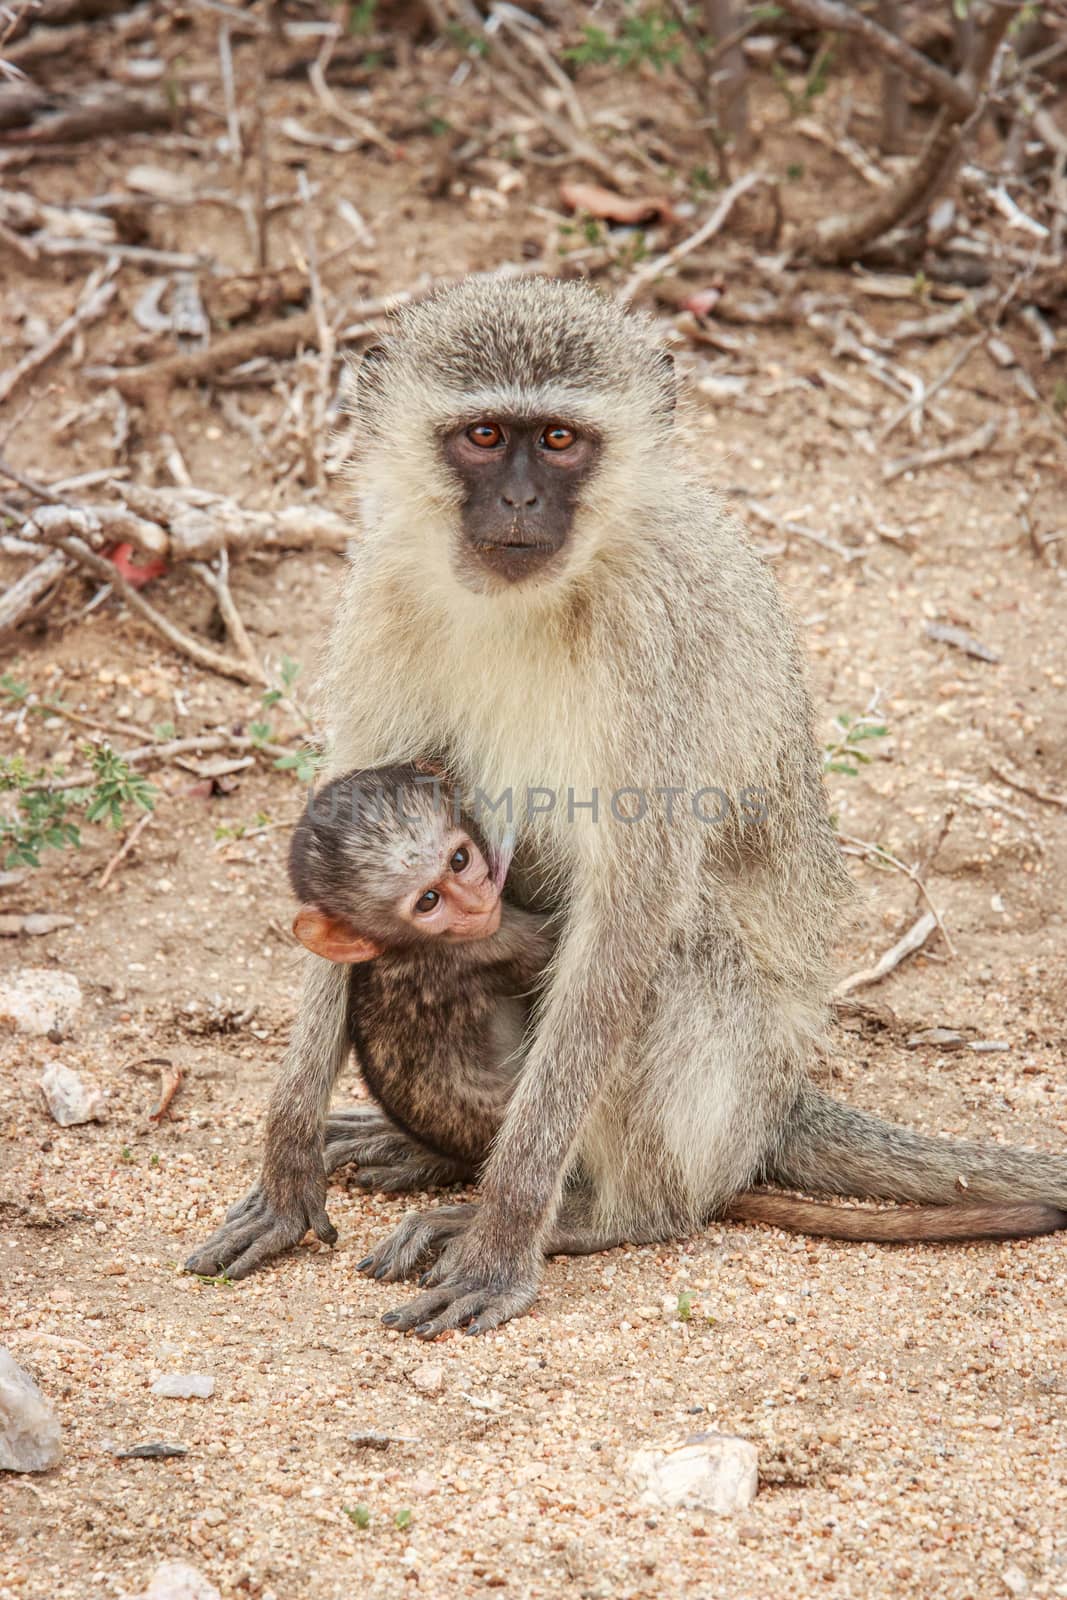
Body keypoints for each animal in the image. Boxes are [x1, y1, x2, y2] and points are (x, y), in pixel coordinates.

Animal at [185, 278, 1067, 1337]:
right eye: (485, 435)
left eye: (561, 440)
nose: (520, 500)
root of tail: (776, 1101)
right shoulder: (384, 592)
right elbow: (341, 841)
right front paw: (286, 1167)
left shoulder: (654, 635)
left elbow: (630, 909)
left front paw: (502, 1235)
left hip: (730, 1084)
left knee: (674, 954)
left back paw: (606, 1214)